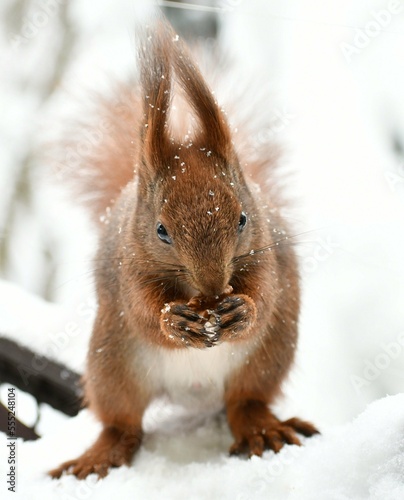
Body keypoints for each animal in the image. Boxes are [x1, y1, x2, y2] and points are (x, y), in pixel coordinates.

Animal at [49, 20, 318, 480]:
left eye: (242, 218)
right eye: (161, 230)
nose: (213, 287)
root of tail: (195, 394)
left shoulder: (266, 252)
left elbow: (265, 293)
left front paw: (242, 310)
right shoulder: (128, 269)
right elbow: (142, 310)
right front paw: (173, 321)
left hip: (269, 356)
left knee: (246, 401)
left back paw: (263, 429)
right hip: (112, 366)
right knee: (122, 422)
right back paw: (100, 455)